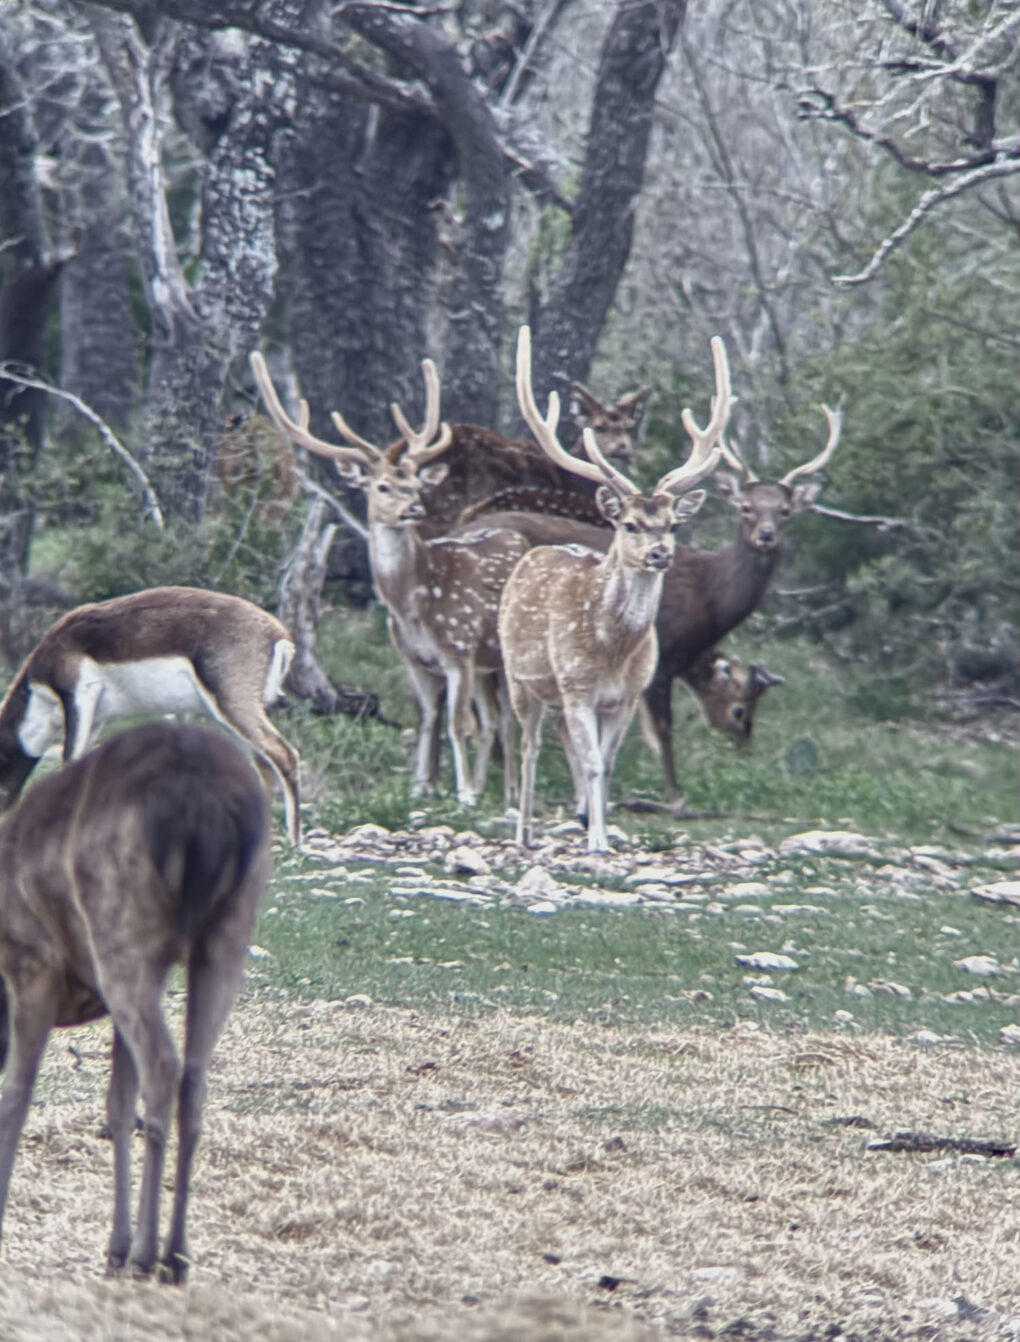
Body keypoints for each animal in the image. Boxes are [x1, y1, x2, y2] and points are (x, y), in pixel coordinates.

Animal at [0, 587, 301, 844]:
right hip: (229, 719)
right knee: (262, 766)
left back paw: (293, 842)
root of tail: (277, 634)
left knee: (284, 755)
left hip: (233, 708)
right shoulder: (96, 718)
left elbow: (69, 761)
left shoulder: (77, 697)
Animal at [0, 720, 271, 1282]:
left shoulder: (31, 963)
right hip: (228, 931)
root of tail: (202, 805)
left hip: (121, 926)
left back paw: (150, 1253)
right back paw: (174, 1255)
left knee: (164, 1065)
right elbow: (118, 1104)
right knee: (193, 1075)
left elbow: (15, 1094)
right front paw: (114, 1244)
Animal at [250, 351, 530, 807]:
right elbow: (429, 719)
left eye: (415, 483)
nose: (414, 508)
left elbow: (457, 724)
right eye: (382, 486)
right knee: (494, 719)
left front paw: (463, 794)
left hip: (503, 655)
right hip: (487, 664)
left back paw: (507, 794)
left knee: (508, 718)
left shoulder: (458, 650)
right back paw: (494, 789)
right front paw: (421, 788)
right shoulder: (415, 659)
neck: (412, 604)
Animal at [499, 325, 732, 853]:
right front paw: (597, 841)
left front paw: (598, 828)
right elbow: (588, 763)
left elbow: (604, 766)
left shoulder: (626, 697)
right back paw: (523, 830)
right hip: (520, 679)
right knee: (528, 745)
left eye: (671, 524)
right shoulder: (577, 687)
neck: (611, 652)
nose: (659, 554)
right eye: (628, 524)